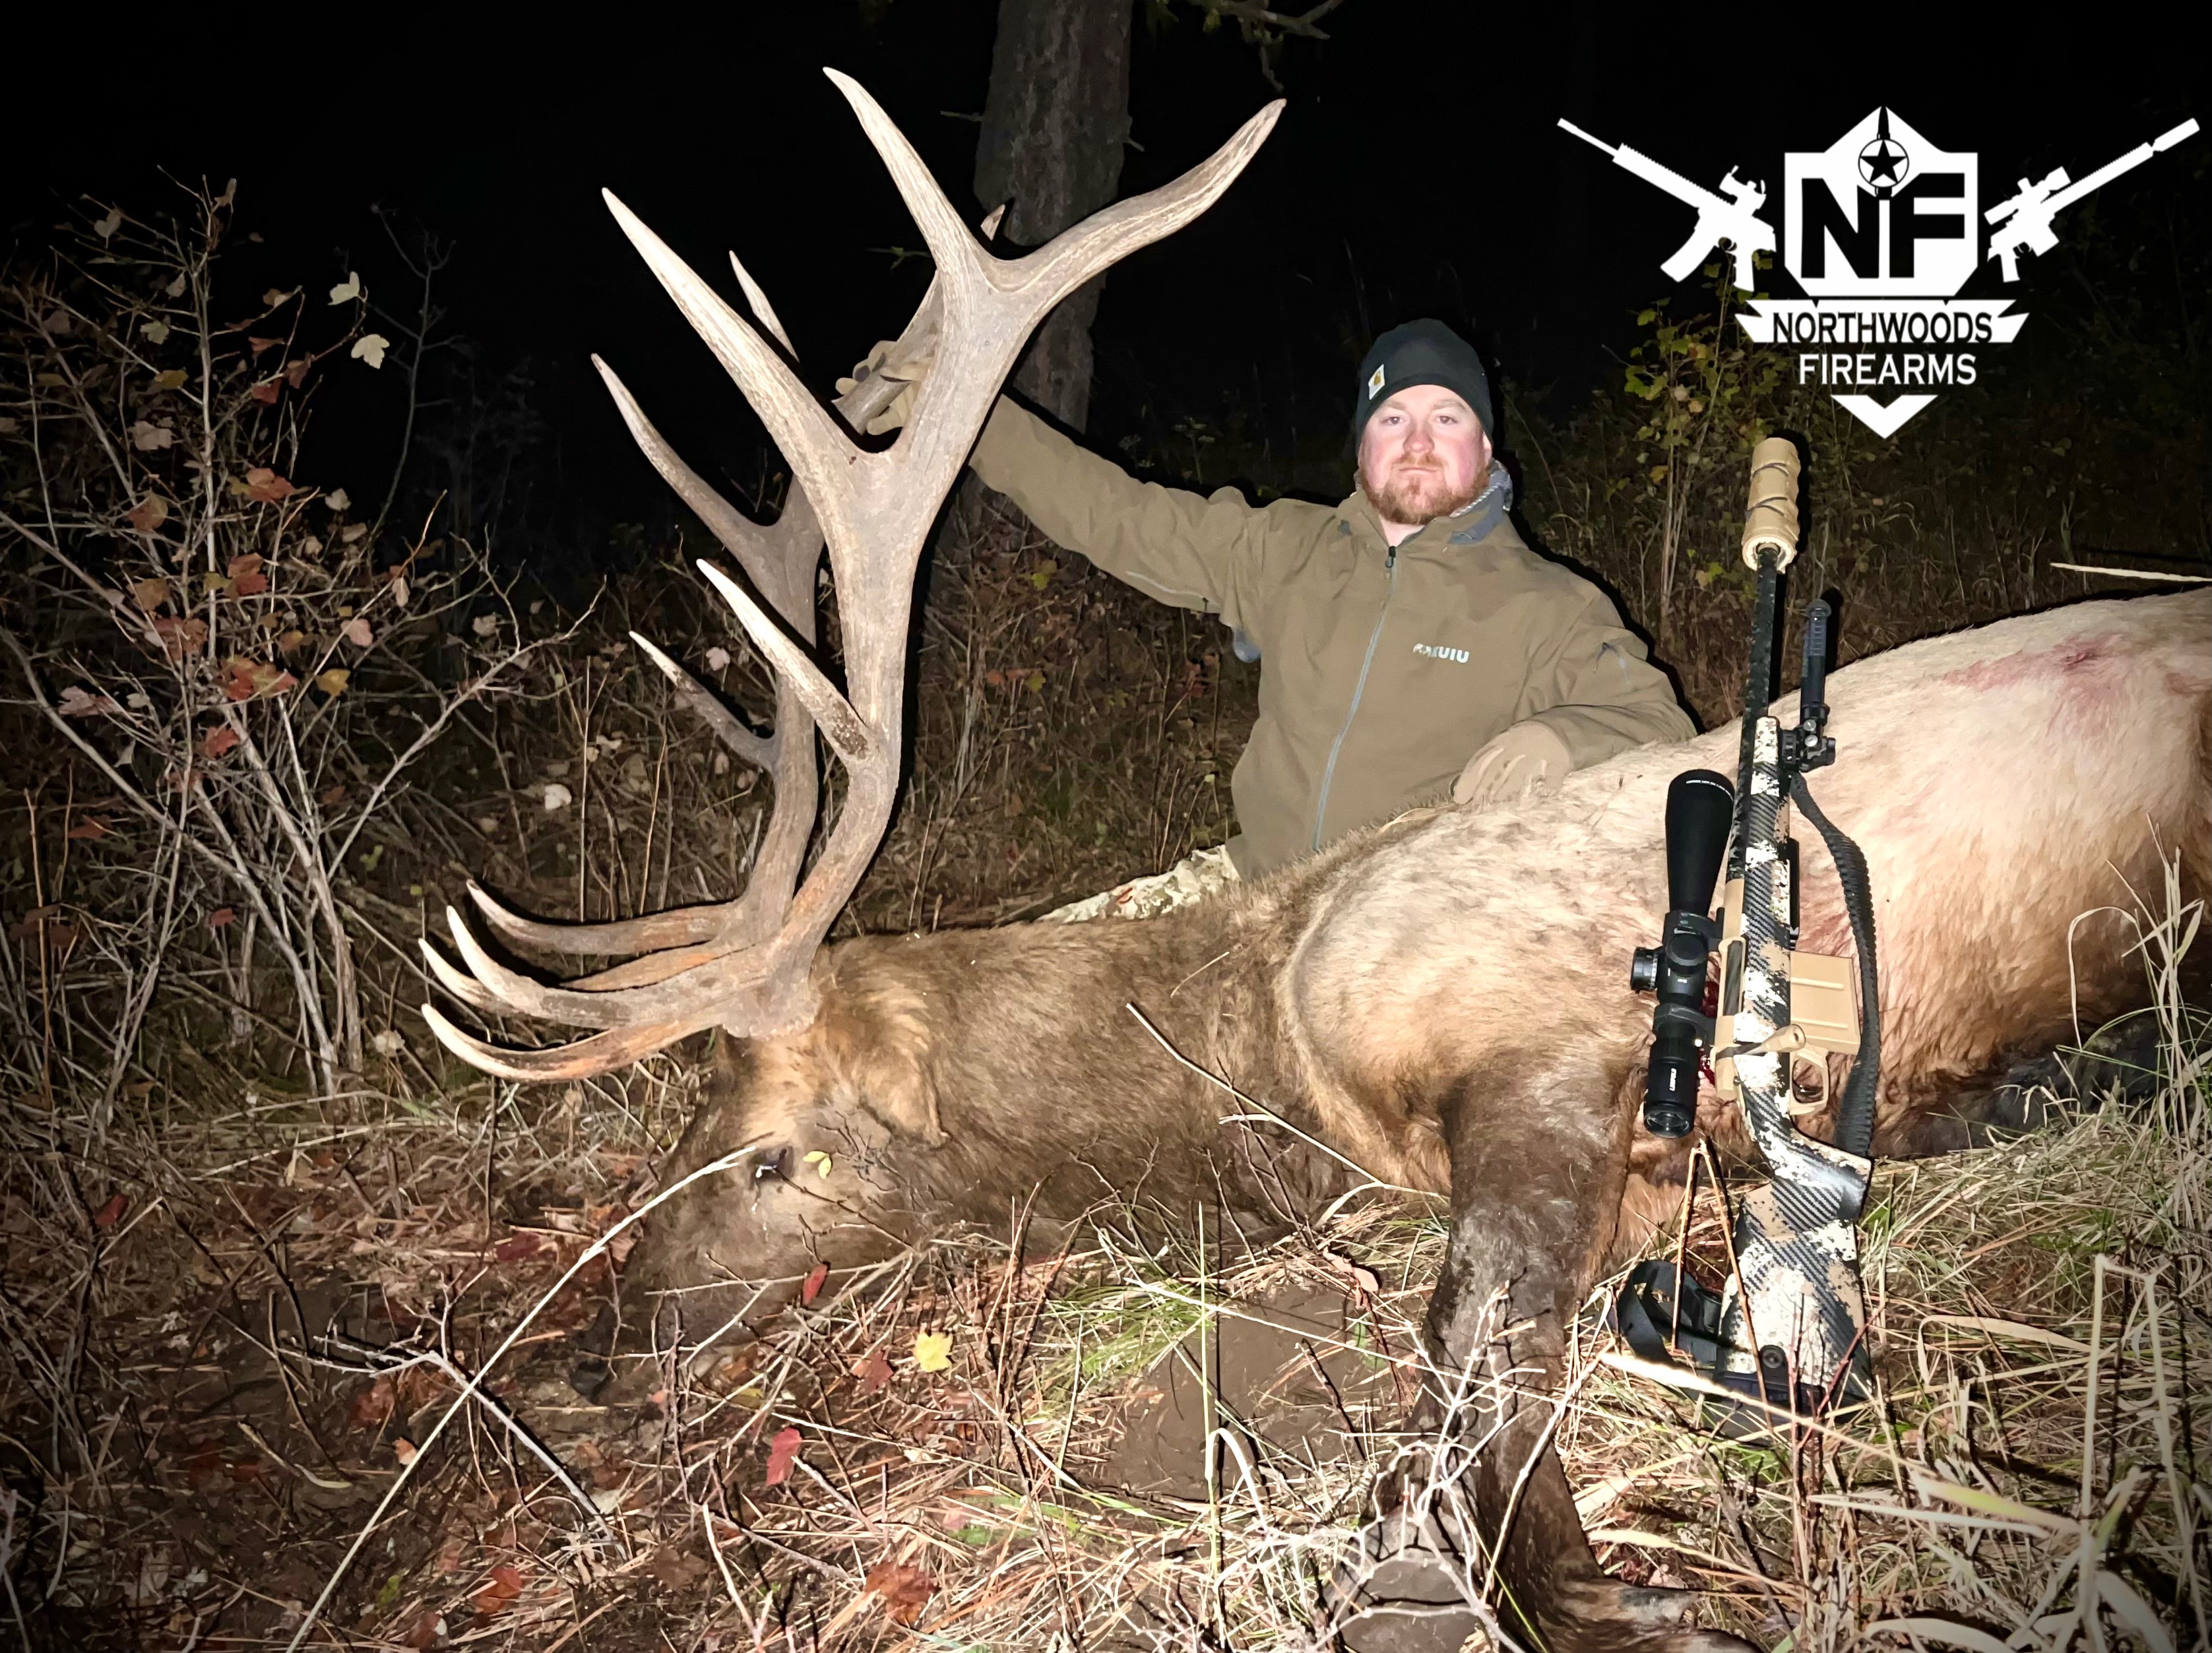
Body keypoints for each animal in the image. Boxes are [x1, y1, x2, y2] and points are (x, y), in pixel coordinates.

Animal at [419, 71, 2212, 1653]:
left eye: (773, 1156)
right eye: (687, 1129)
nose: (598, 1341)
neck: (1259, 1036)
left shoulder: (1548, 1045)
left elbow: (1465, 1356)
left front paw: (1613, 1594)